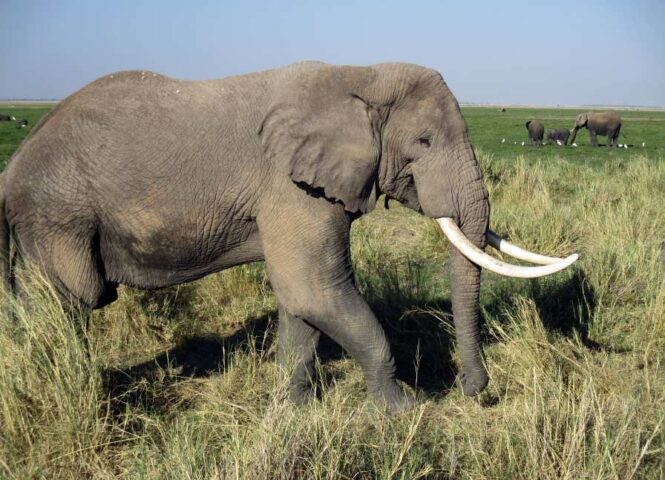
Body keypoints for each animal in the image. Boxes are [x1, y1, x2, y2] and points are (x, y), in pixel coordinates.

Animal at [0, 62, 577, 413]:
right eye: (423, 141)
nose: (471, 388)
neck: (360, 74)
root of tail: (11, 172)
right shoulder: (291, 187)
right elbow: (316, 289)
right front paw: (404, 411)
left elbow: (301, 304)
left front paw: (294, 409)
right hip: (57, 213)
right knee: (67, 304)